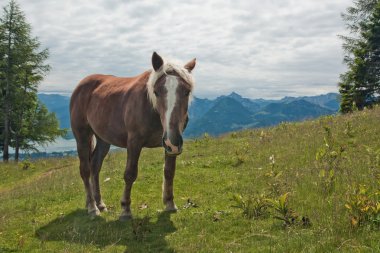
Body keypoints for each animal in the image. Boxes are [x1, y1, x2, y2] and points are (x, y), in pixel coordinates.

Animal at [69, 52, 197, 219]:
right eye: (156, 92)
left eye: (187, 91)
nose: (173, 142)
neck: (151, 108)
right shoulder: (134, 143)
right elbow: (130, 174)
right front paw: (125, 209)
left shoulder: (169, 143)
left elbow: (169, 172)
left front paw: (169, 203)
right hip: (82, 136)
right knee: (85, 170)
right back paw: (92, 207)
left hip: (103, 140)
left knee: (95, 167)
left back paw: (100, 204)